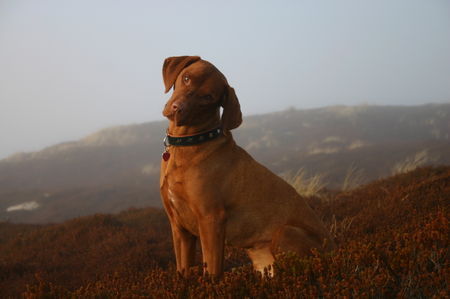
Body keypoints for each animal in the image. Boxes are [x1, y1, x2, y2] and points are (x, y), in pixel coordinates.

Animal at [160, 56, 332, 278]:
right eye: (187, 78)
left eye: (207, 97)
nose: (177, 108)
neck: (188, 144)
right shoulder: (179, 228)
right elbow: (183, 272)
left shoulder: (211, 219)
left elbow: (212, 271)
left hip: (285, 232)